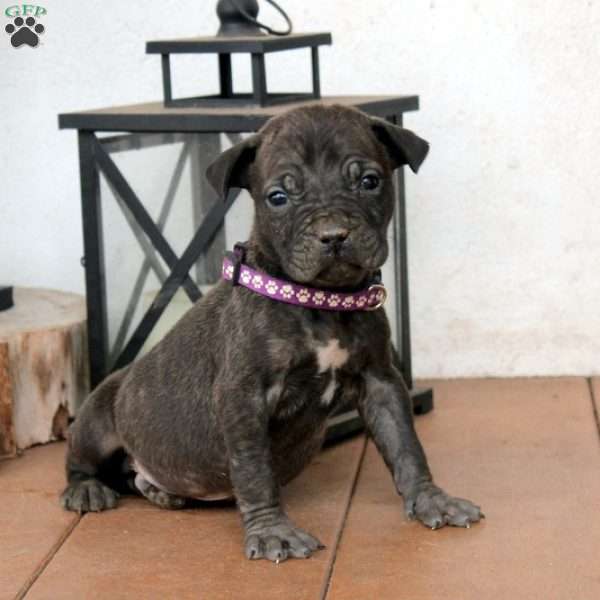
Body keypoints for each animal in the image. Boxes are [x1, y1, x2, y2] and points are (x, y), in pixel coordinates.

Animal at [59, 104, 482, 564]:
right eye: (278, 197)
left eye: (369, 182)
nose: (333, 235)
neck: (322, 302)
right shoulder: (243, 395)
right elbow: (254, 469)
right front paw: (272, 531)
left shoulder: (380, 382)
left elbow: (405, 444)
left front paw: (430, 499)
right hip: (96, 420)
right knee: (79, 458)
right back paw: (87, 489)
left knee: (136, 479)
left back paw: (159, 491)